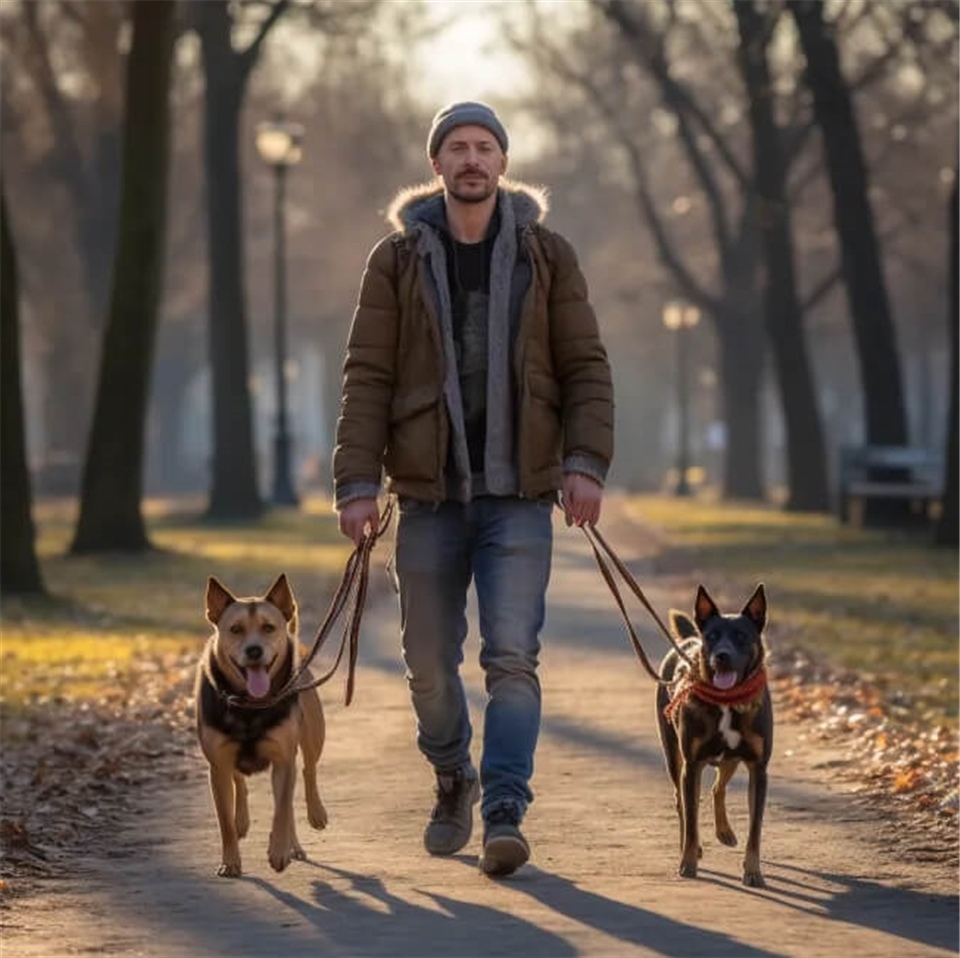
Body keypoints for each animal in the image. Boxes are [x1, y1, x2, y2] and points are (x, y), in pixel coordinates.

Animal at [196, 572, 330, 880]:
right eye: (235, 629)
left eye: (268, 627)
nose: (254, 650)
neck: (249, 705)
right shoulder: (217, 765)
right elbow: (225, 821)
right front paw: (230, 861)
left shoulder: (282, 758)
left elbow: (281, 809)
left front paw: (279, 851)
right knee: (240, 782)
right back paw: (243, 821)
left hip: (313, 734)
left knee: (308, 771)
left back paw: (311, 819)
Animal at [660, 584, 772, 892]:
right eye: (711, 636)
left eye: (741, 636)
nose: (721, 655)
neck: (727, 701)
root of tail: (688, 639)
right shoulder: (692, 764)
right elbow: (691, 820)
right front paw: (688, 862)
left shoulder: (758, 768)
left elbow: (755, 830)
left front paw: (753, 871)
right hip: (674, 758)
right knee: (683, 802)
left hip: (731, 759)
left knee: (717, 788)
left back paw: (725, 832)